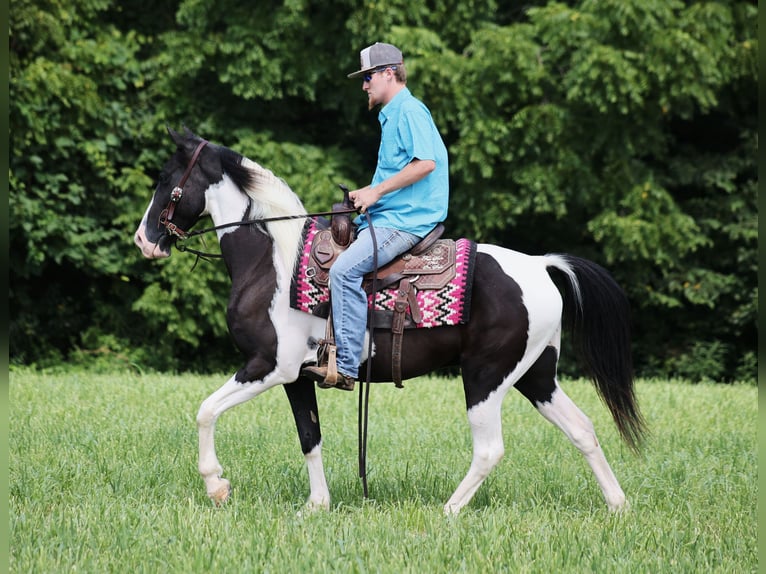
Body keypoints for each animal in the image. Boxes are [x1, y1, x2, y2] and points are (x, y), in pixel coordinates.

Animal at [134, 128, 648, 516]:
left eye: (165, 178)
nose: (144, 239)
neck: (273, 261)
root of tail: (542, 265)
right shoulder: (296, 376)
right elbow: (309, 437)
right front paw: (317, 506)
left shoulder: (268, 365)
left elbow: (205, 410)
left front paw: (216, 486)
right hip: (536, 375)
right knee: (583, 429)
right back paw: (618, 504)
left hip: (485, 376)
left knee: (490, 449)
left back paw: (449, 510)